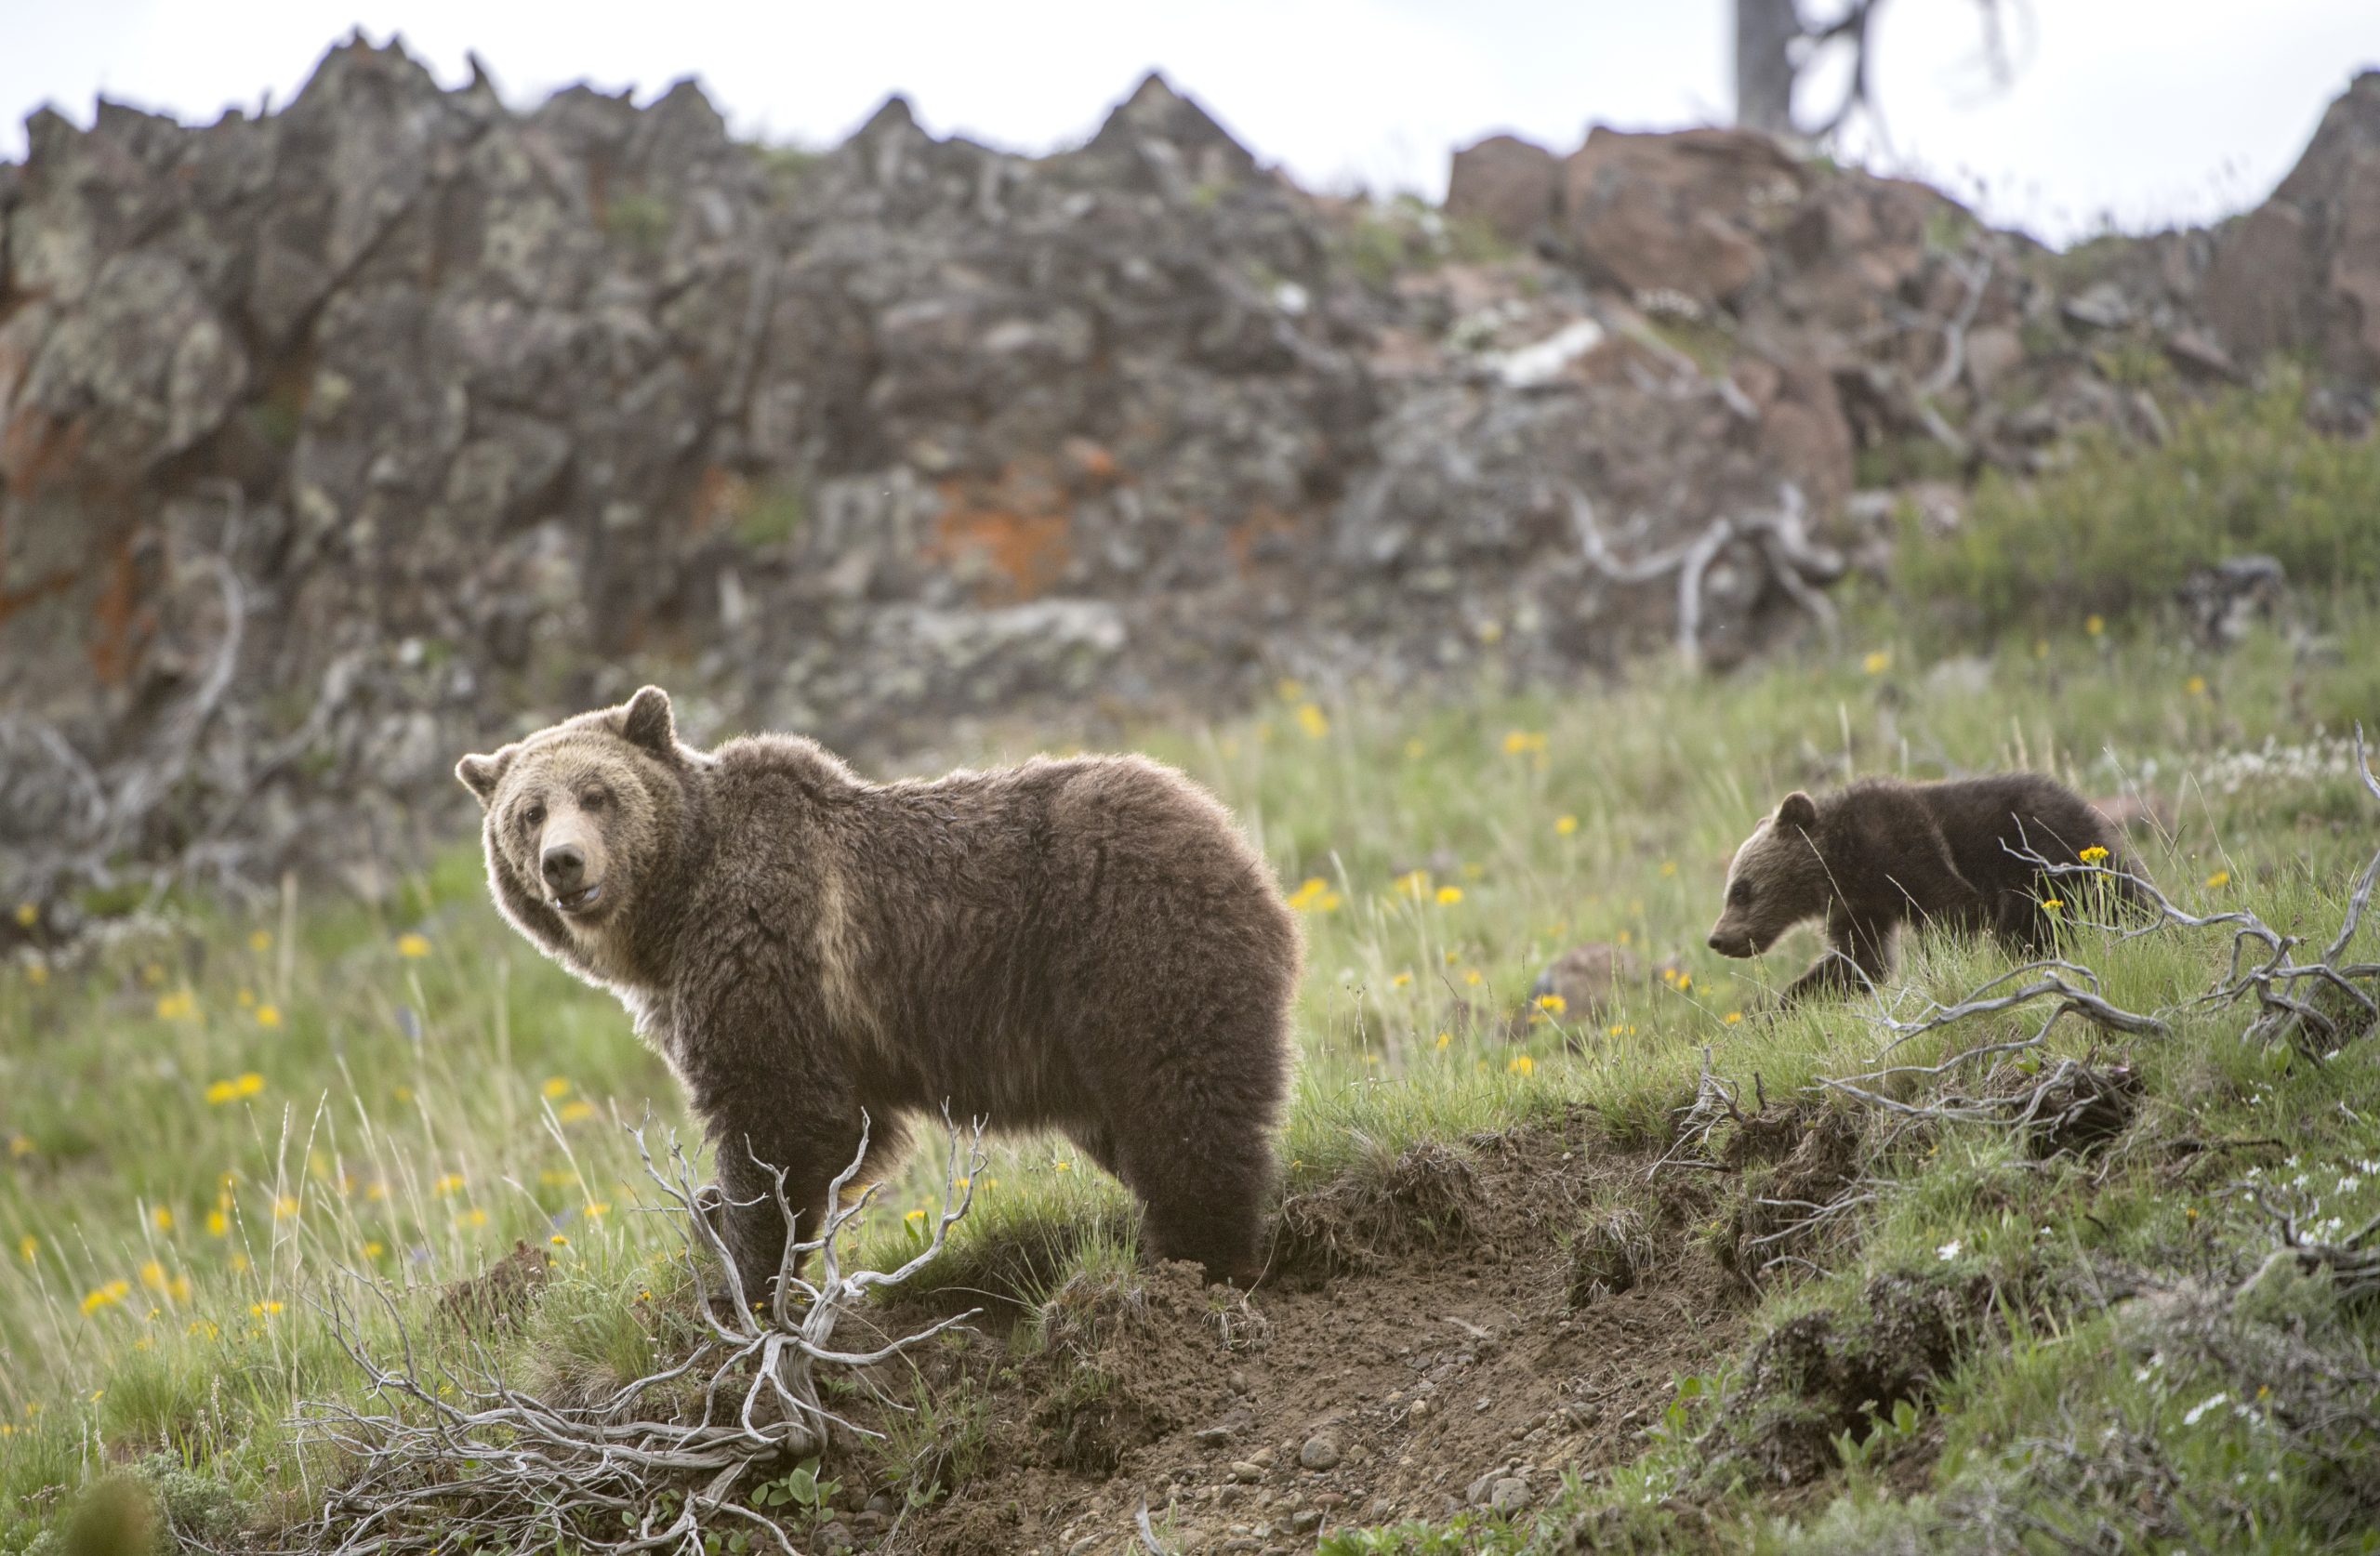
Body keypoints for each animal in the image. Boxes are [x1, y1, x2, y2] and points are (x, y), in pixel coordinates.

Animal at [456, 687, 1301, 1300]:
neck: (672, 914)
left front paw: (741, 1272)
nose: (564, 862)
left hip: (1131, 942)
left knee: (1180, 1103)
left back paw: (1197, 1261)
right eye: (528, 812)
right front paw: (715, 1235)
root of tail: (1232, 836)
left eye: (599, 793)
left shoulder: (768, 947)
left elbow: (782, 1118)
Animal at [1705, 773, 2145, 1004]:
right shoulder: (1860, 905)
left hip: (2044, 860)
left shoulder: (1907, 847)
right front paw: (1778, 1007)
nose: (1717, 938)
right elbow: (1861, 961)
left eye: (1740, 889)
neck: (1845, 862)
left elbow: (1954, 909)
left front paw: (1938, 981)